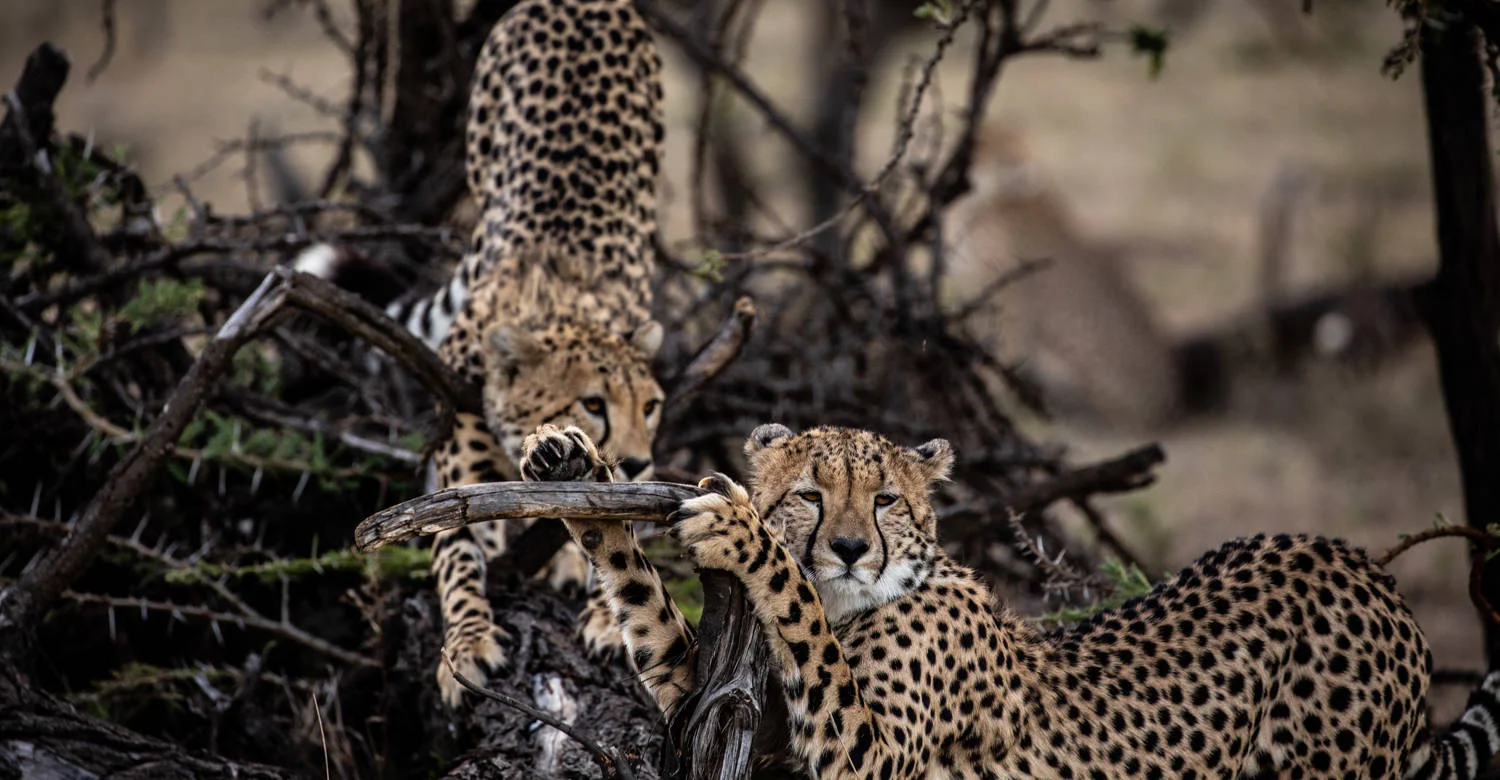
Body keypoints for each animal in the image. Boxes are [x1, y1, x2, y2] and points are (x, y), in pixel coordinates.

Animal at [304, 0, 669, 708]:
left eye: (652, 406)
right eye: (593, 402)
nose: (639, 462)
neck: (560, 304)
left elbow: (609, 537)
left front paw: (602, 615)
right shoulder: (460, 479)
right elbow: (456, 556)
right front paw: (468, 644)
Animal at [519, 423, 1500, 774]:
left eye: (885, 500)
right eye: (809, 494)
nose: (849, 548)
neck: (858, 605)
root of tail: (1359, 564)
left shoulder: (872, 758)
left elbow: (789, 603)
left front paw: (742, 534)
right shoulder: (726, 708)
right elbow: (651, 616)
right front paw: (574, 461)